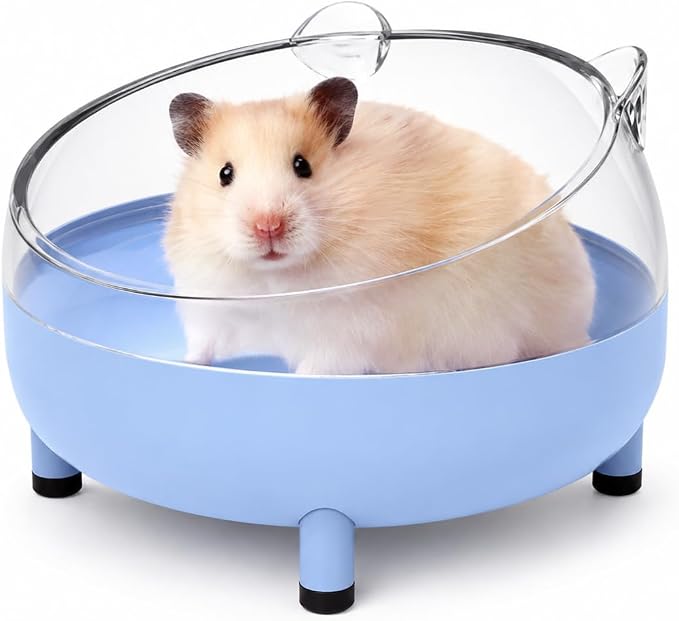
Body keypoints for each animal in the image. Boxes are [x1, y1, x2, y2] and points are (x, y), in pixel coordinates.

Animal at [164, 77, 595, 374]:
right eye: (225, 174)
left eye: (303, 166)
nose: (267, 227)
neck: (274, 281)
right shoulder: (209, 308)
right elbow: (202, 345)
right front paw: (185, 364)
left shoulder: (350, 332)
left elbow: (318, 366)